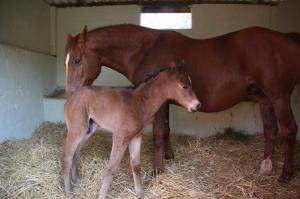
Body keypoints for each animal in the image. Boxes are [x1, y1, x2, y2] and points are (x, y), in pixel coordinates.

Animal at [60, 64, 202, 199]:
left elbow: (136, 165)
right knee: (67, 157)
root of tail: (70, 98)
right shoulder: (120, 137)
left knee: (75, 153)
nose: (197, 105)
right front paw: (101, 196)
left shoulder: (136, 136)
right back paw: (69, 193)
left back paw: (76, 179)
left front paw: (141, 193)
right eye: (184, 86)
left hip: (88, 130)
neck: (138, 103)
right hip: (76, 130)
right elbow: (112, 168)